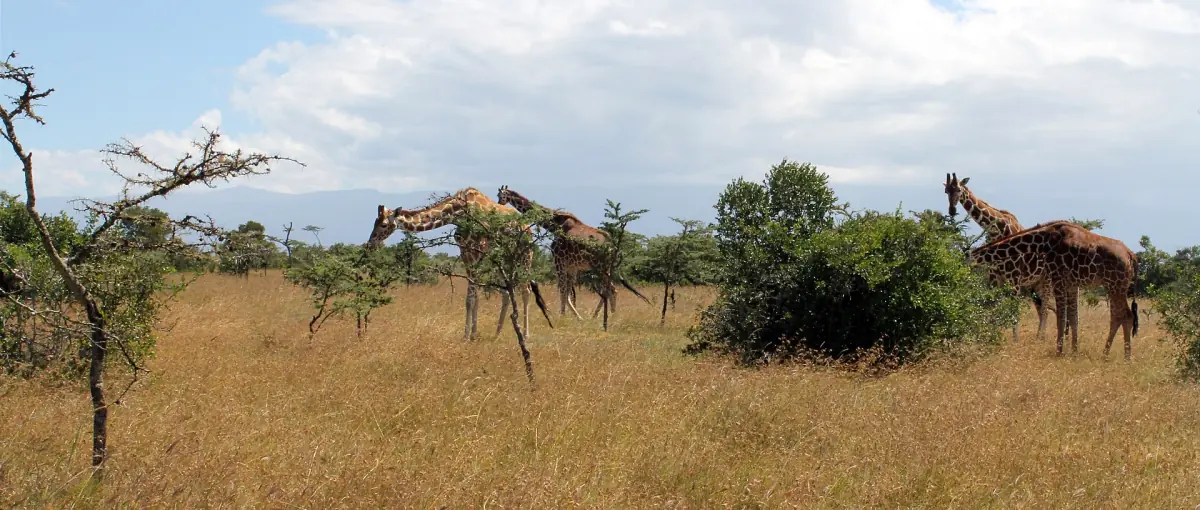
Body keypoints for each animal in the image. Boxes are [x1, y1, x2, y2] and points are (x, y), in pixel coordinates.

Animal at [365, 187, 551, 340]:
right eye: (374, 222)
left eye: (383, 225)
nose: (370, 244)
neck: (457, 212)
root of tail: (528, 228)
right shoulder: (466, 252)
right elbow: (473, 297)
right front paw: (472, 333)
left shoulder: (476, 251)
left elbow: (472, 296)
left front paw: (468, 335)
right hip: (504, 258)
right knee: (507, 292)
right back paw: (497, 333)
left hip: (525, 255)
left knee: (525, 290)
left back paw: (525, 334)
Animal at [495, 185, 650, 320]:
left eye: (500, 195)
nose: (499, 203)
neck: (554, 224)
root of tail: (613, 246)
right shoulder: (572, 266)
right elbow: (569, 292)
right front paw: (573, 316)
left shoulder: (559, 260)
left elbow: (563, 291)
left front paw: (562, 316)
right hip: (605, 267)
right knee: (609, 290)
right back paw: (602, 315)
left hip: (600, 267)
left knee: (611, 290)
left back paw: (608, 316)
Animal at [944, 172, 1053, 342]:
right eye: (946, 191)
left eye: (959, 189)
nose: (951, 210)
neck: (997, 230)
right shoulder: (994, 277)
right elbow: (993, 309)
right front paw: (992, 338)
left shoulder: (1014, 277)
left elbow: (1014, 311)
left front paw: (1015, 341)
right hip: (1033, 284)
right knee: (1041, 308)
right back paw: (1039, 337)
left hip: (1046, 279)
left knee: (1045, 308)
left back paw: (1041, 338)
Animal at [969, 220, 1140, 359]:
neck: (1043, 241)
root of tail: (1131, 256)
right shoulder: (1071, 284)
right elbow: (1073, 318)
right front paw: (1074, 351)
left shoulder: (1057, 278)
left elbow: (1061, 319)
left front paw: (1059, 352)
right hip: (1113, 286)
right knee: (1119, 316)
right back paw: (1107, 354)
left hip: (1116, 285)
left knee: (1125, 315)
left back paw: (1125, 357)